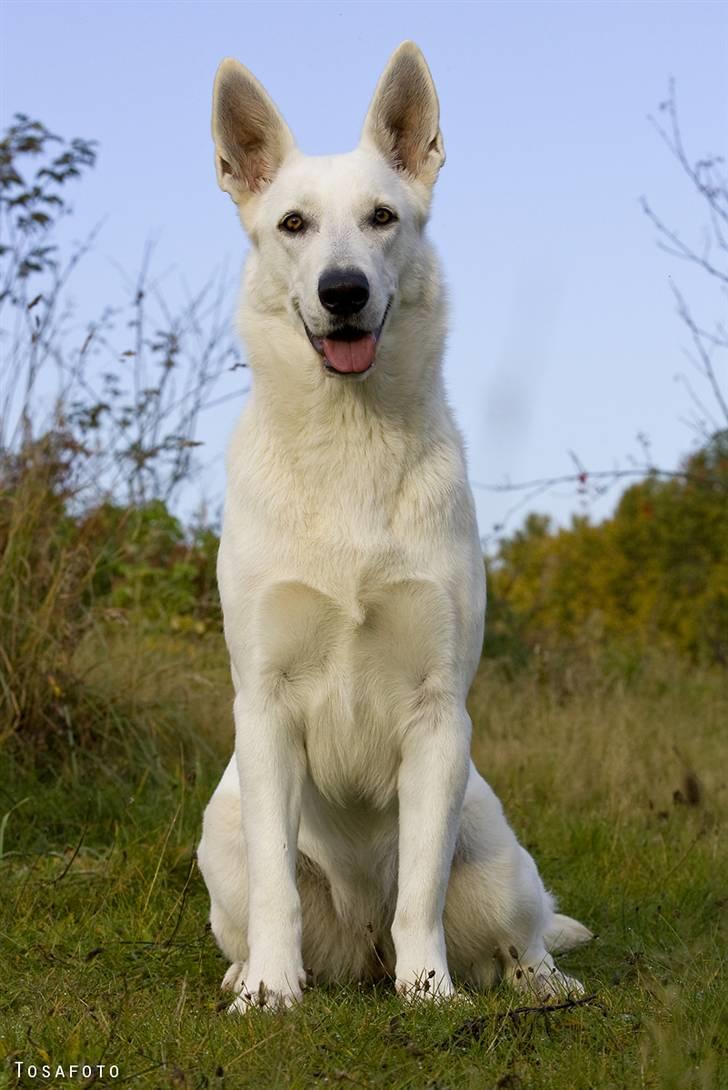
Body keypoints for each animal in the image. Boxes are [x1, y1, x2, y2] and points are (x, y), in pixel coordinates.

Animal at [197, 42, 592, 1011]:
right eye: (293, 224)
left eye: (383, 218)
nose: (343, 292)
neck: (349, 447)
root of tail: (361, 948)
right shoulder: (264, 710)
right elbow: (277, 892)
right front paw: (271, 995)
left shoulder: (439, 715)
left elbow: (420, 888)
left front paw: (432, 994)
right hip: (220, 830)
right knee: (259, 906)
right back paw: (246, 973)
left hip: (498, 856)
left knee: (518, 931)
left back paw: (539, 983)